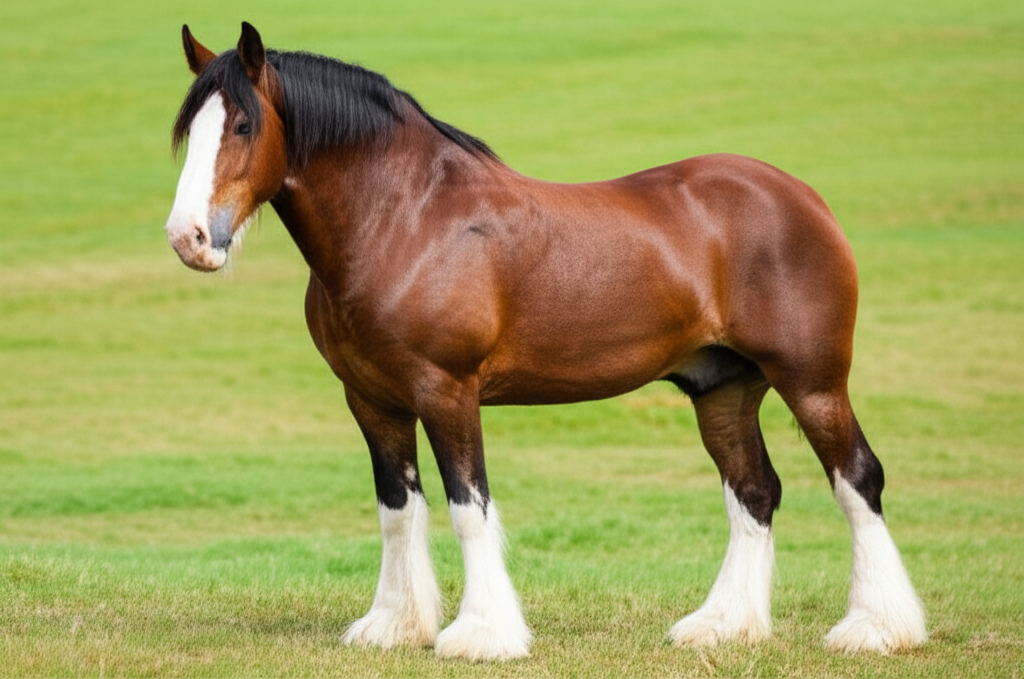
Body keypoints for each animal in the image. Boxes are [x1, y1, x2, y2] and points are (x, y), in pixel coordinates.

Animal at [165, 22, 927, 660]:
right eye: (188, 130)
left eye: (242, 123)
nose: (189, 238)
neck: (405, 220)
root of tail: (805, 199)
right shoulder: (372, 400)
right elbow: (397, 510)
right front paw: (393, 625)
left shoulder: (446, 390)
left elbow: (468, 508)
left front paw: (481, 635)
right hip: (724, 388)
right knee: (754, 491)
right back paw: (722, 625)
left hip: (813, 381)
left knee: (858, 479)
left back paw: (875, 628)